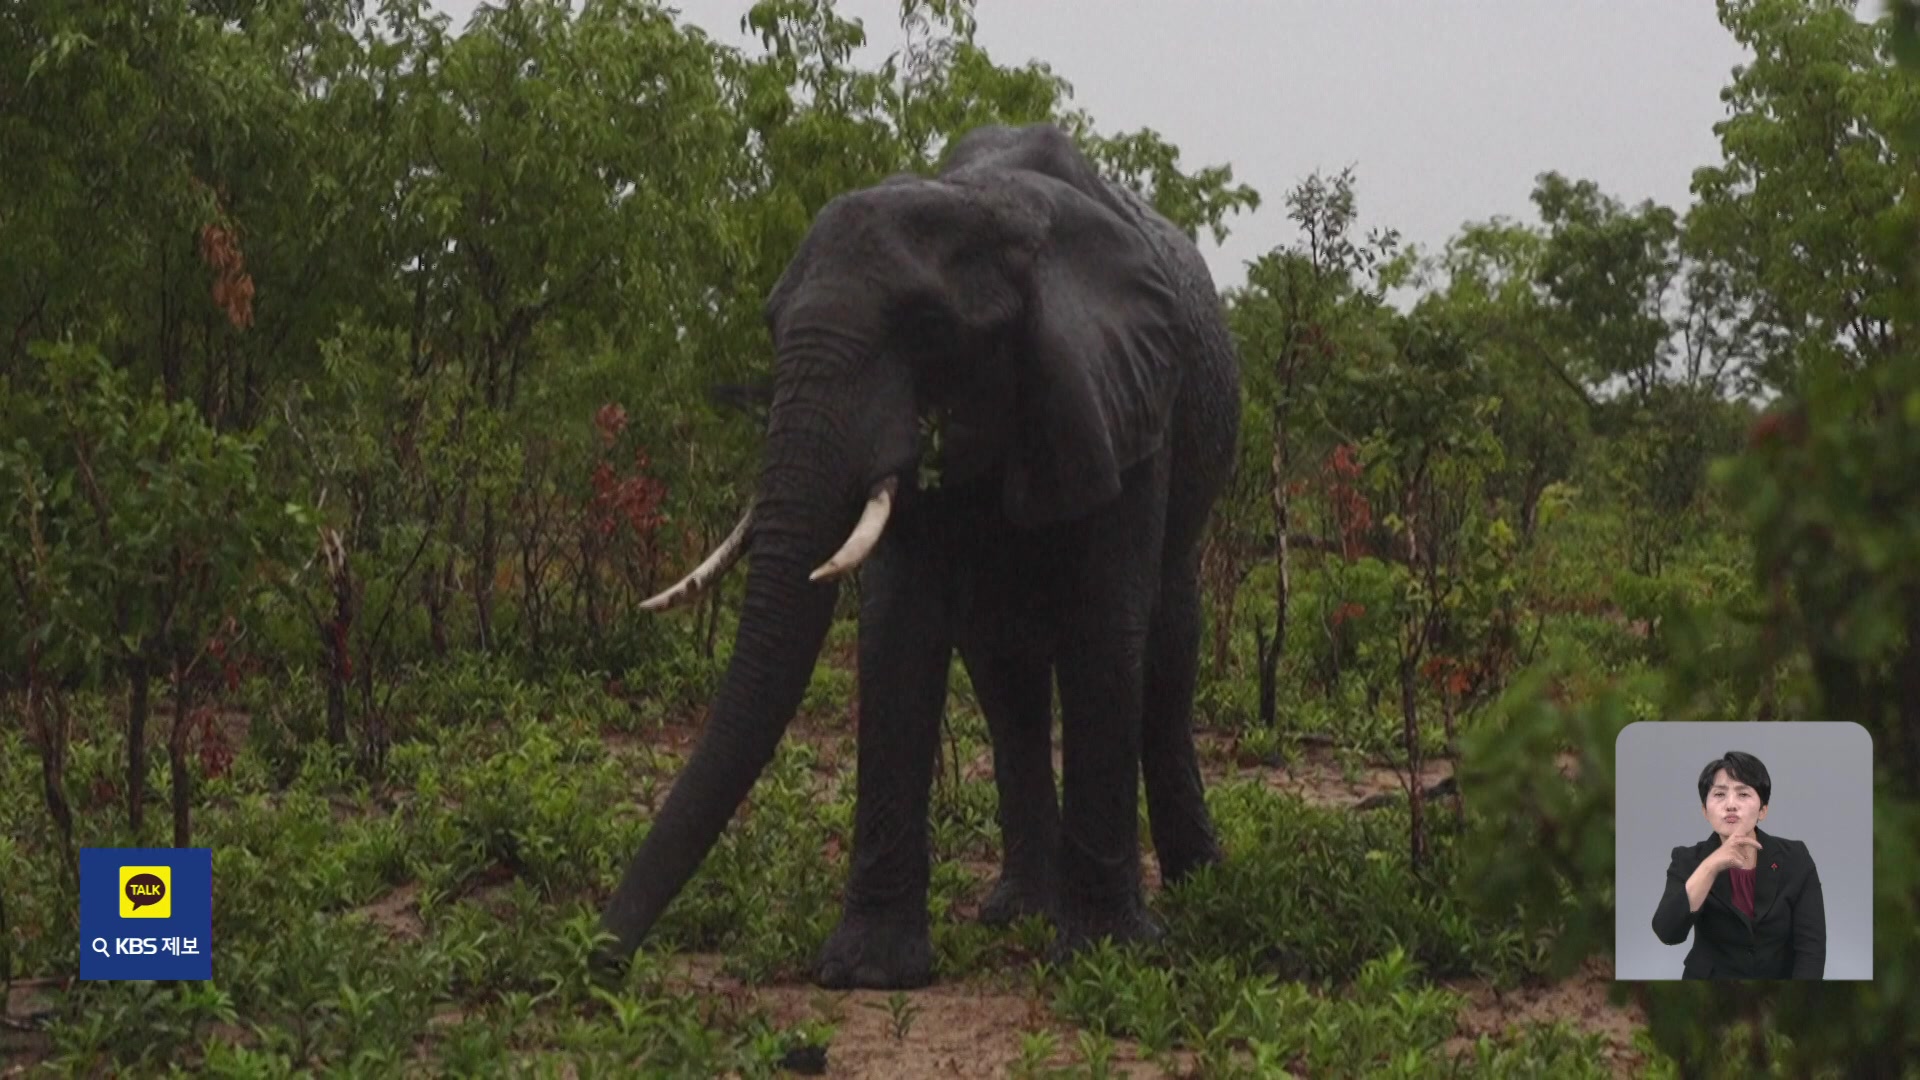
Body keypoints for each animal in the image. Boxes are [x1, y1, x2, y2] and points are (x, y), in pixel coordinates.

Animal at [599, 119, 1244, 983]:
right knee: (1004, 673)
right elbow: (900, 625)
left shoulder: (1131, 396)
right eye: (771, 325)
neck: (989, 208)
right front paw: (869, 971)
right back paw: (1019, 912)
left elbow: (1106, 624)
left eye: (932, 331)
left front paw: (1109, 958)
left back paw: (1199, 889)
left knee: (1167, 648)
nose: (601, 957)